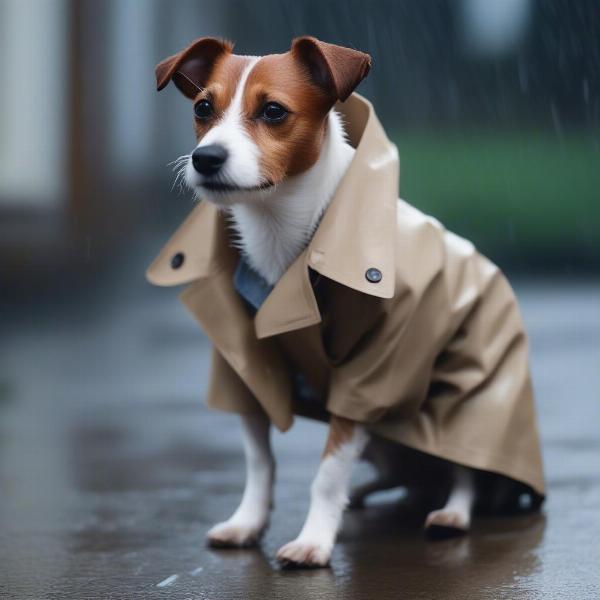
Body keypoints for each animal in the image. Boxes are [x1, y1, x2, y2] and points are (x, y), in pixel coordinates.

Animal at [149, 36, 544, 568]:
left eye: (273, 111)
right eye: (202, 108)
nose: (205, 157)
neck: (283, 237)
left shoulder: (370, 375)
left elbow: (328, 471)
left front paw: (315, 540)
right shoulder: (245, 369)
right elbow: (259, 460)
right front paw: (249, 522)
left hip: (464, 400)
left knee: (465, 468)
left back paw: (452, 512)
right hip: (388, 445)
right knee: (400, 474)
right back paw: (367, 494)